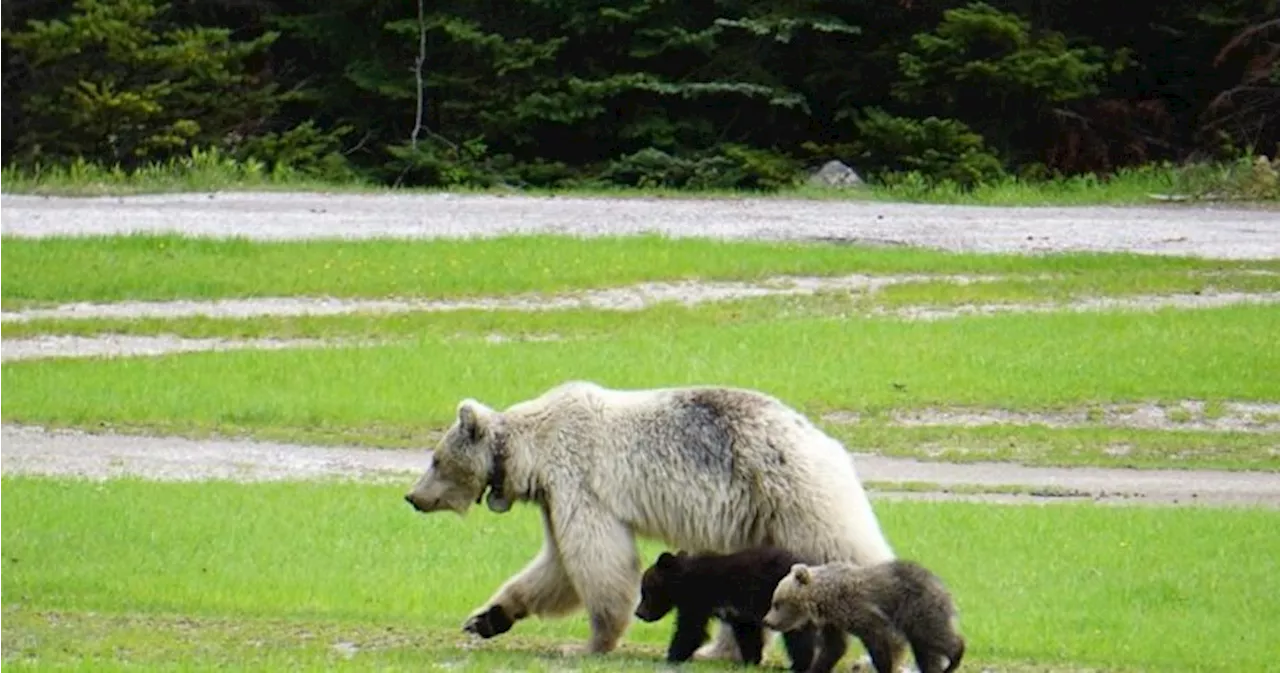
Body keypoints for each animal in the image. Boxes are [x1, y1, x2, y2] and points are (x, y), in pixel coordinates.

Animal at [404, 386, 896, 660]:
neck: (532, 452)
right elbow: (555, 567)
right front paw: (486, 617)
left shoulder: (579, 481)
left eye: (435, 459)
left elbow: (596, 559)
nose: (413, 497)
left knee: (847, 550)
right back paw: (721, 649)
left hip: (794, 495)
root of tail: (827, 441)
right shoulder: (554, 497)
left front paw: (589, 643)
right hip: (758, 520)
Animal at [757, 562, 962, 673]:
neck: (825, 598)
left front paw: (885, 667)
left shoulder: (862, 612)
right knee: (925, 651)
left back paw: (955, 657)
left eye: (776, 603)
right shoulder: (833, 622)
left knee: (934, 636)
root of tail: (943, 586)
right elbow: (834, 647)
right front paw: (816, 667)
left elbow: (879, 642)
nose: (767, 620)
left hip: (918, 609)